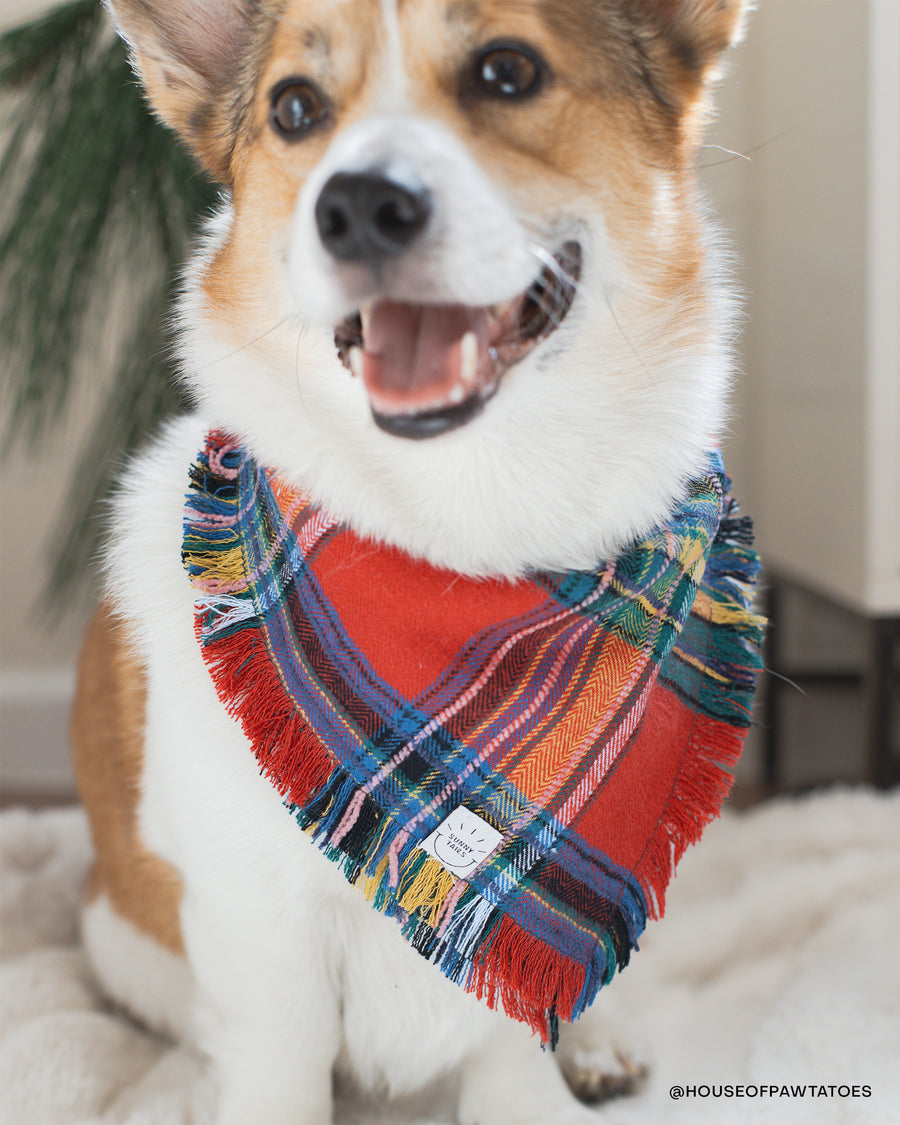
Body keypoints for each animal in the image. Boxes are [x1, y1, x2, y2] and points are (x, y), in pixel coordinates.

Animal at [70, 2, 747, 1125]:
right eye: (295, 108)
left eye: (507, 71)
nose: (357, 208)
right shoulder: (259, 926)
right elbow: (281, 1068)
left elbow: (515, 1031)